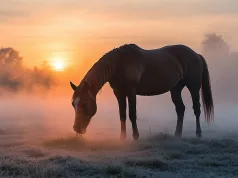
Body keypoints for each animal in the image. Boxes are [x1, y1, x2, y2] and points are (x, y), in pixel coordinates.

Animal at [69, 43, 214, 140]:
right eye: (73, 104)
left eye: (85, 104)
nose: (77, 128)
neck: (119, 64)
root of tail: (196, 55)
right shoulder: (119, 93)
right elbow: (122, 115)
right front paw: (122, 138)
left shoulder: (131, 91)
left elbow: (132, 114)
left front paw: (135, 136)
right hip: (176, 88)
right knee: (180, 109)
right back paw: (177, 134)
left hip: (193, 87)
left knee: (196, 109)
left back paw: (198, 133)